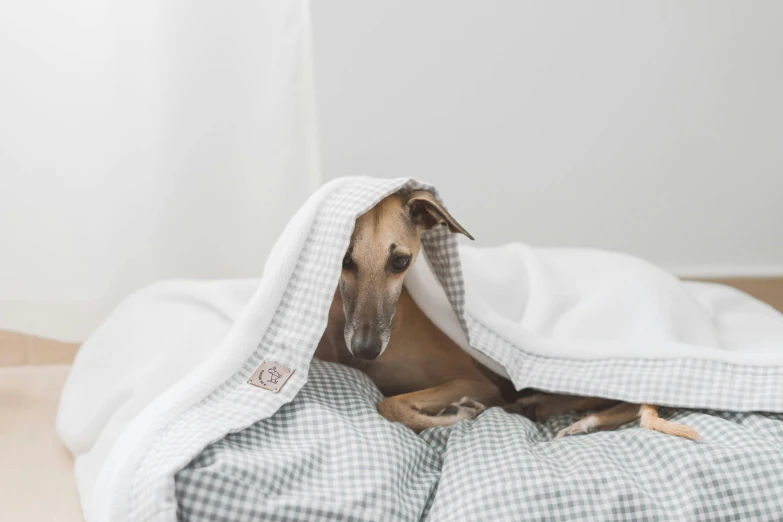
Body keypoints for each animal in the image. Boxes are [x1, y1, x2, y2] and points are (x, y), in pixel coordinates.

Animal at [316, 188, 700, 438]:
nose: (365, 349)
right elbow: (391, 404)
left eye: (400, 261)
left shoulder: (474, 381)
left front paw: (459, 412)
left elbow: (391, 406)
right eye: (343, 260)